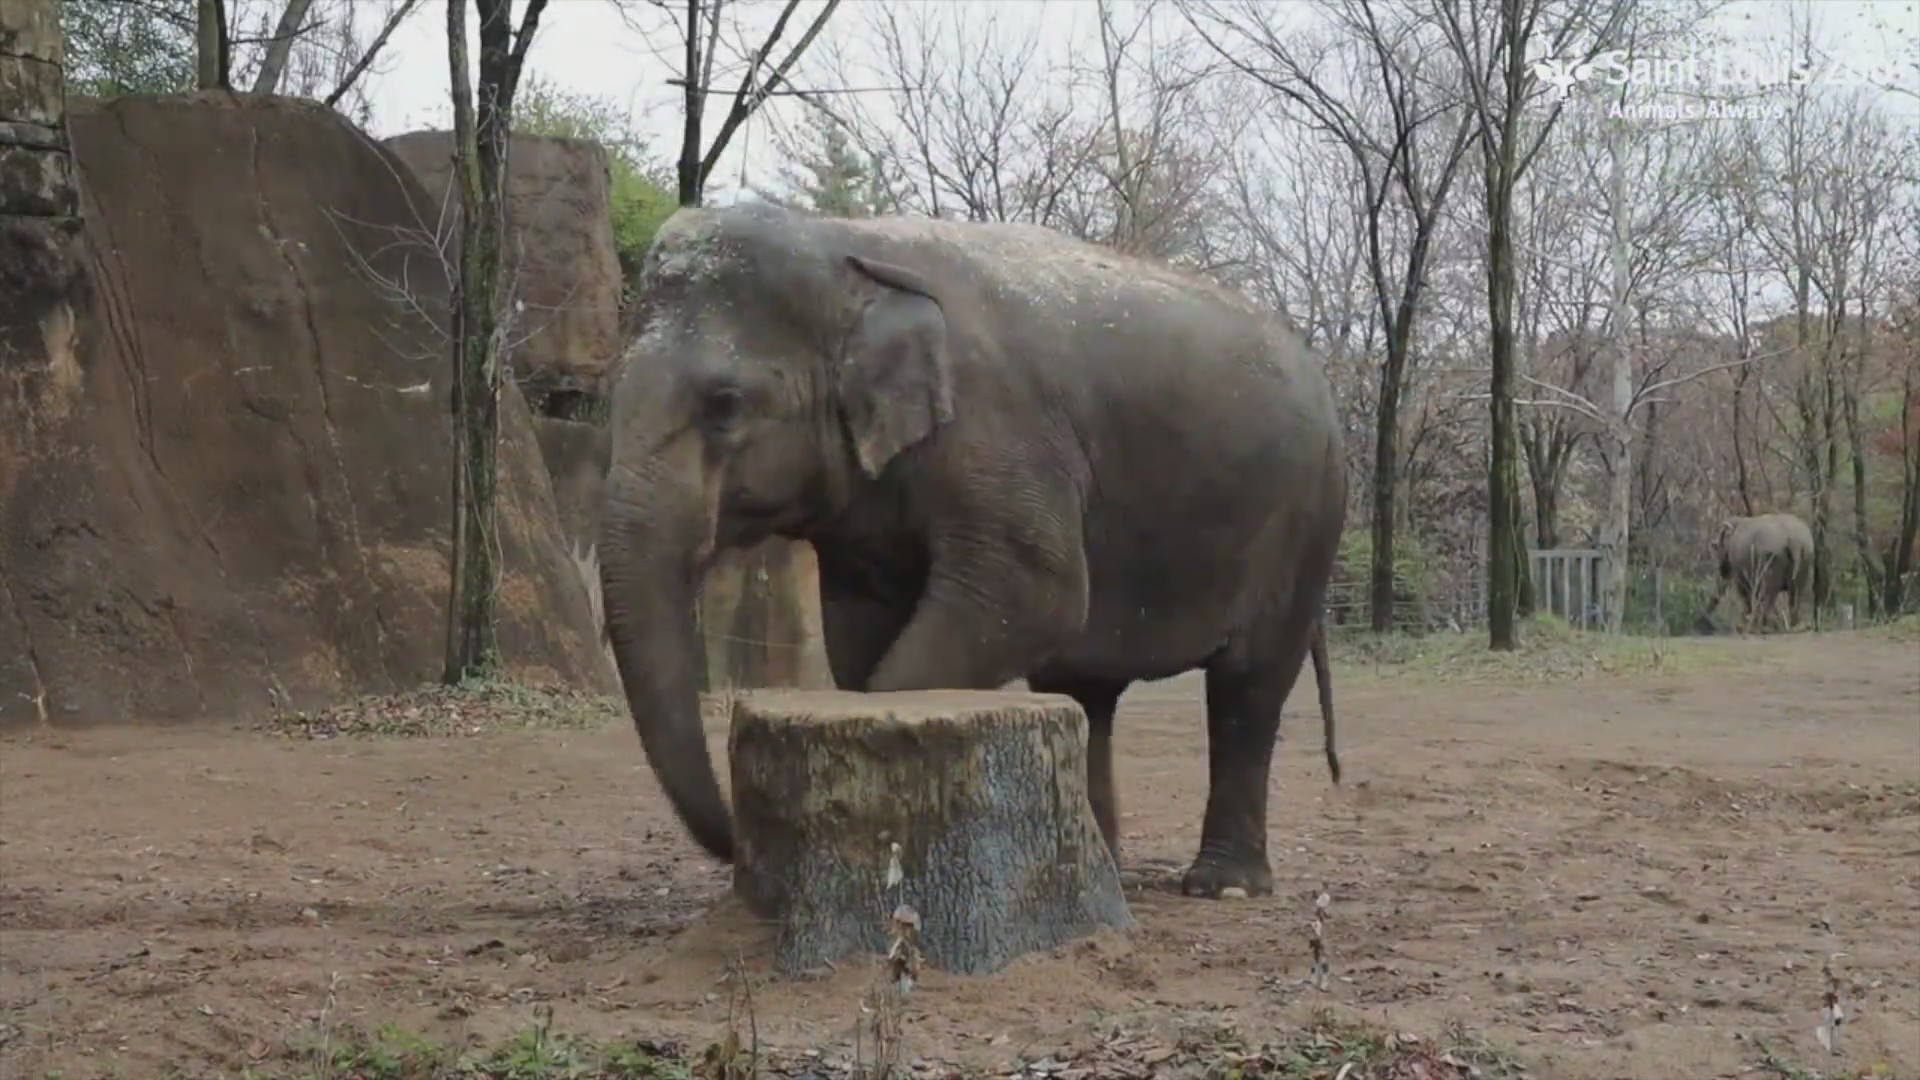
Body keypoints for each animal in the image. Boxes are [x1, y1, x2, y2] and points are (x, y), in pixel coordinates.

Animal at [599, 203, 1347, 899]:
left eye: (724, 404)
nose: (737, 839)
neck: (845, 242)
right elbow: (860, 632)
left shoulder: (1004, 436)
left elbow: (1033, 596)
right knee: (1088, 689)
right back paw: (1101, 865)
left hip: (1306, 522)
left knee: (1248, 687)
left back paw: (1223, 886)